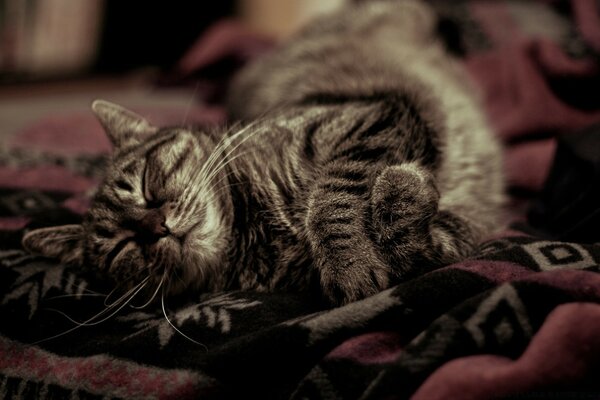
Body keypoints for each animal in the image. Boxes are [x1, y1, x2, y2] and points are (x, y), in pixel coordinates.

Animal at [21, 0, 504, 306]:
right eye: (123, 246)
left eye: (146, 185)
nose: (155, 227)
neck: (256, 219)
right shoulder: (447, 239)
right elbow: (414, 246)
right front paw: (405, 194)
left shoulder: (367, 117)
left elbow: (331, 199)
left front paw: (350, 257)